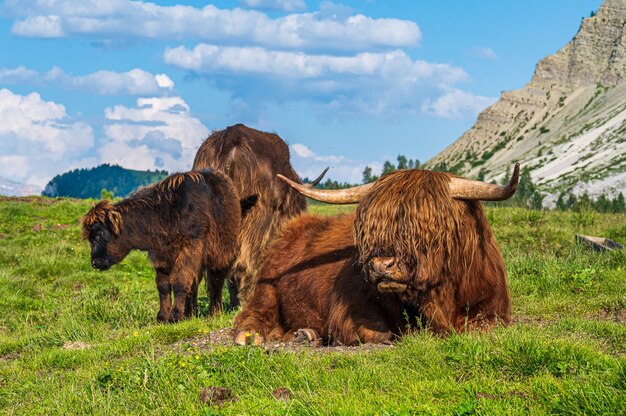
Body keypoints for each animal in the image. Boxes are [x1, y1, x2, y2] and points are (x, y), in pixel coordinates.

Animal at [81, 169, 256, 322]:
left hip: (221, 253)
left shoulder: (189, 249)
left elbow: (179, 281)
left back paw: (215, 311)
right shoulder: (162, 256)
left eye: (98, 235)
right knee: (195, 283)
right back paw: (191, 312)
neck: (164, 213)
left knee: (216, 280)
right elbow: (163, 285)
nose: (95, 262)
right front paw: (163, 316)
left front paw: (175, 315)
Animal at [234, 165, 516, 344]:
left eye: (426, 225)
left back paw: (303, 334)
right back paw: (250, 337)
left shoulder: (495, 311)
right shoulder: (350, 306)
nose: (381, 265)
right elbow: (381, 333)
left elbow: (484, 328)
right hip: (266, 286)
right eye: (371, 227)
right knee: (253, 313)